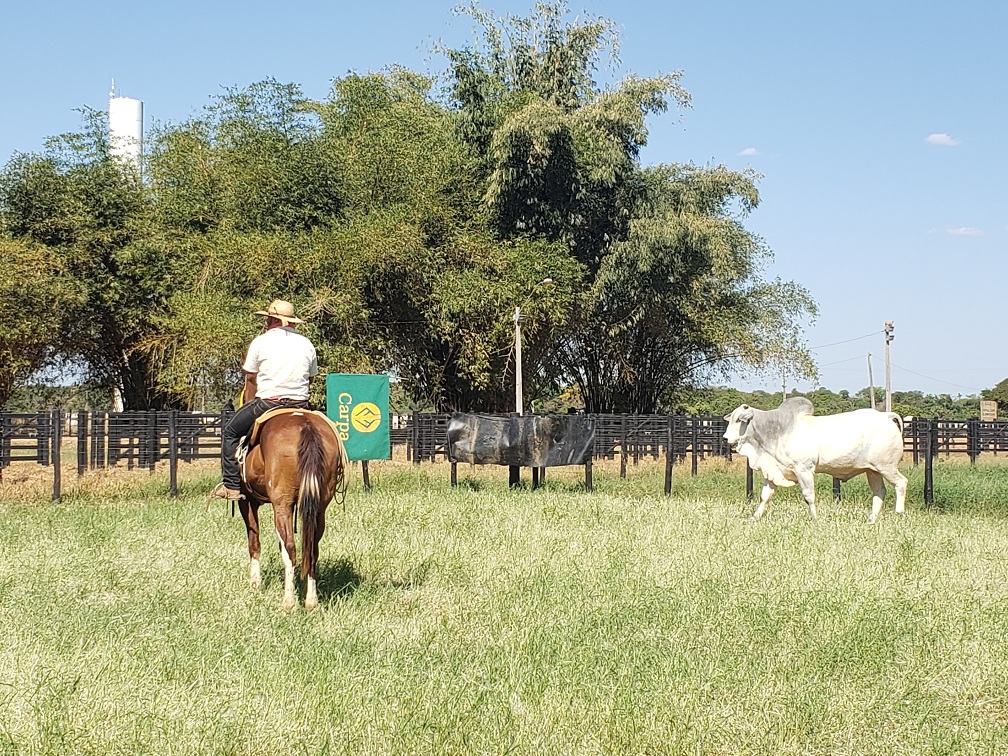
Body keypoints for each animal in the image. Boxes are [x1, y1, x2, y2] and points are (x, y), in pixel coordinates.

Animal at [237, 411, 348, 612]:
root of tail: (306, 426)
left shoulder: (247, 502)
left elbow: (254, 542)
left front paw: (255, 584)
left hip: (282, 505)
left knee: (290, 548)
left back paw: (288, 602)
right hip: (319, 509)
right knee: (312, 550)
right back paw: (311, 600)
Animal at [721, 397, 911, 528]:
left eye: (739, 420)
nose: (725, 438)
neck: (777, 431)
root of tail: (886, 416)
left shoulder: (804, 469)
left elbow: (809, 496)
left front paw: (815, 518)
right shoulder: (774, 471)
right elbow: (765, 496)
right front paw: (754, 517)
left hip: (887, 467)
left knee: (901, 483)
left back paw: (898, 513)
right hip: (873, 470)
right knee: (879, 492)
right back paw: (871, 520)